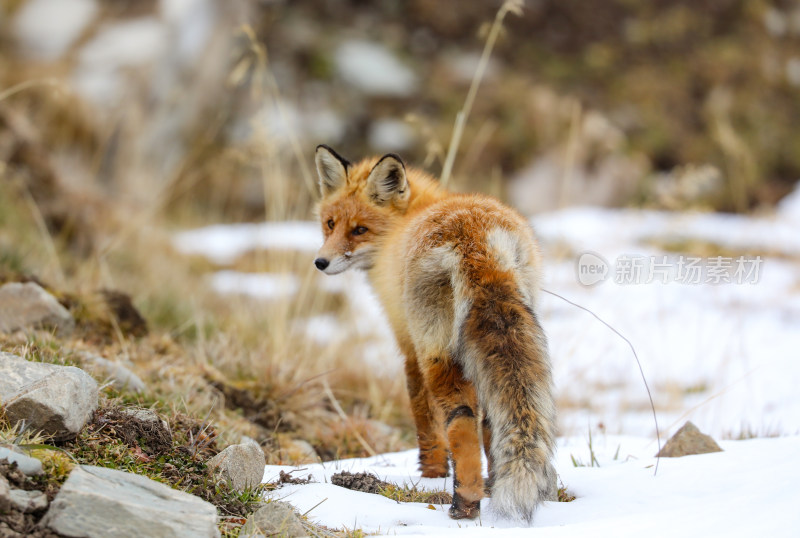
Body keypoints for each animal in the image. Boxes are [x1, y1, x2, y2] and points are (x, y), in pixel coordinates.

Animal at [312, 143, 556, 520]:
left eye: (360, 230)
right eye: (330, 224)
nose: (320, 262)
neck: (403, 224)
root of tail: (474, 238)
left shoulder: (409, 344)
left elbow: (423, 417)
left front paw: (431, 473)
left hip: (437, 352)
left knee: (462, 421)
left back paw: (465, 503)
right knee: (493, 420)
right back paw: (494, 486)